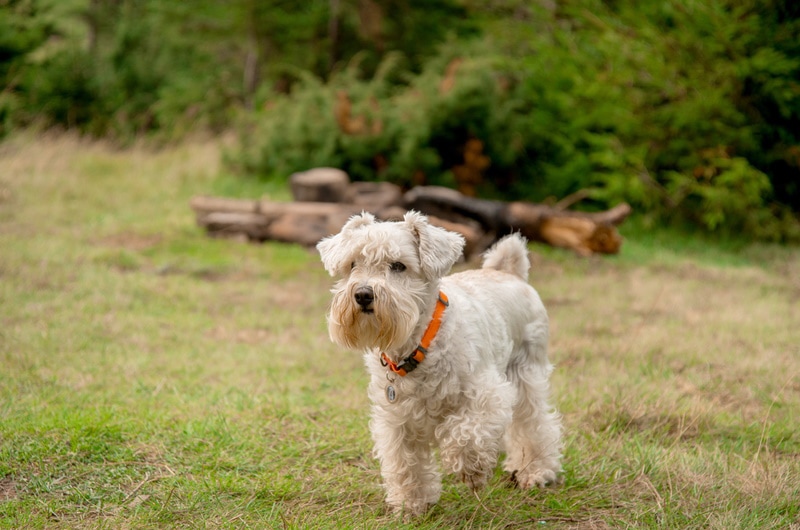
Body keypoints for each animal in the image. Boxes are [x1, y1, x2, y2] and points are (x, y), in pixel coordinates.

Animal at [318, 209, 564, 512]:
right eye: (352, 264)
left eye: (398, 266)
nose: (363, 294)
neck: (418, 344)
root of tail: (508, 272)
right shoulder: (395, 418)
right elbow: (404, 462)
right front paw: (411, 503)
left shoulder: (487, 393)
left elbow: (466, 434)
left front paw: (471, 469)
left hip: (527, 374)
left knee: (536, 424)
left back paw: (535, 471)